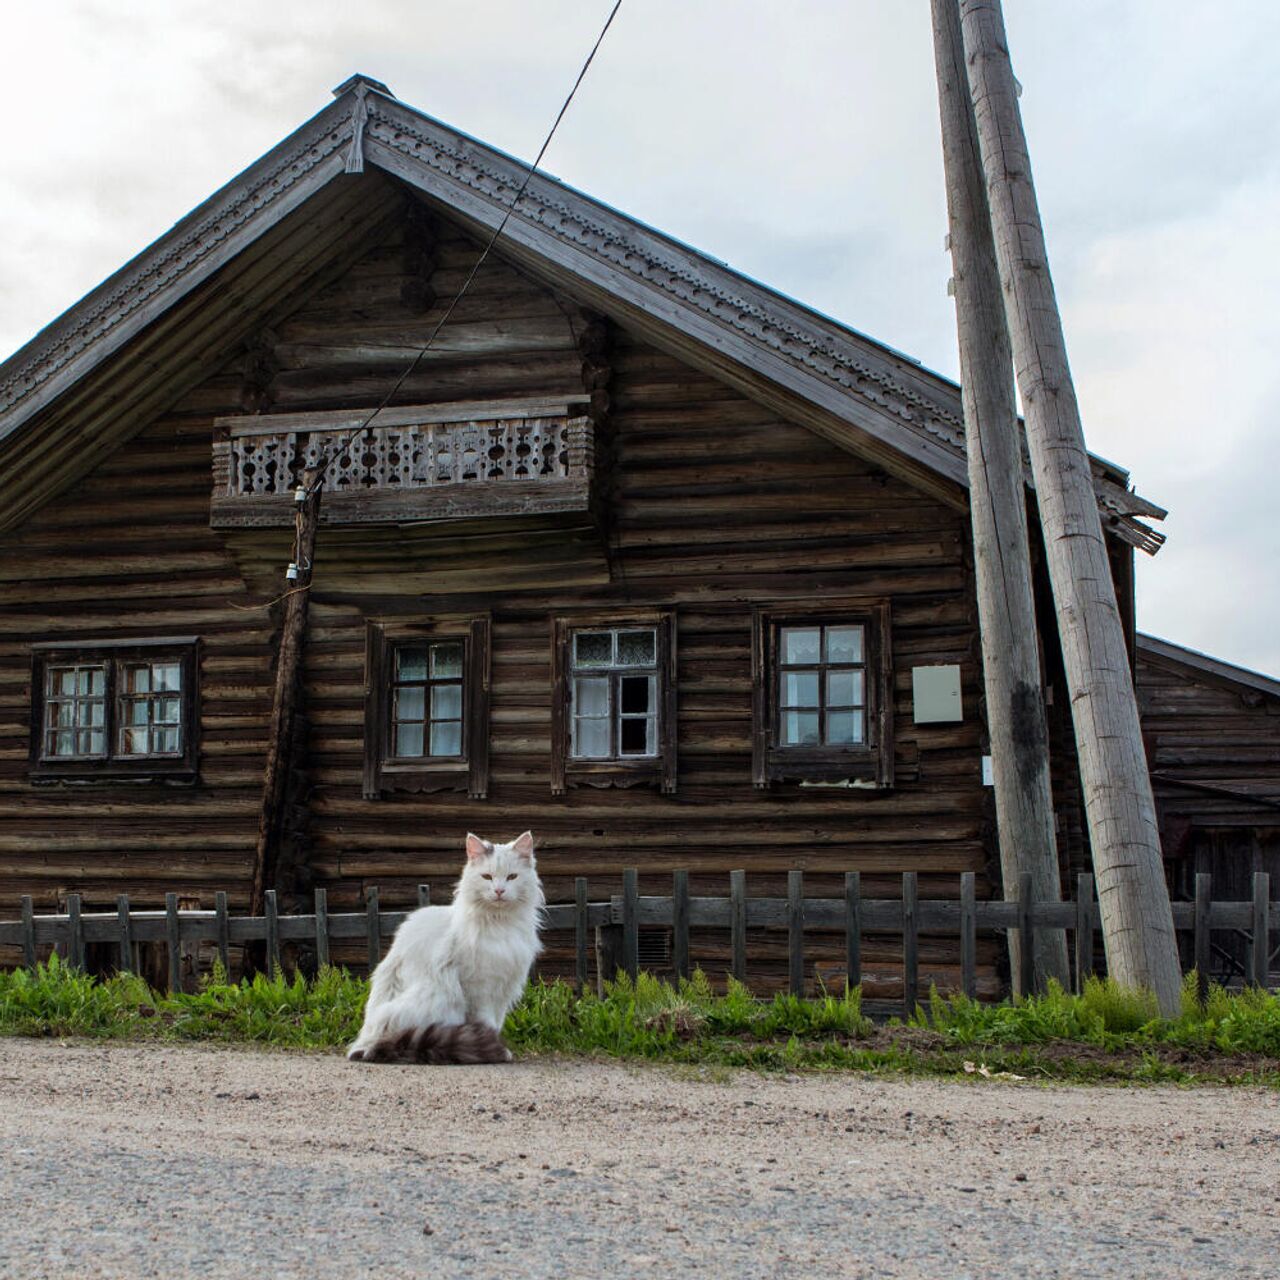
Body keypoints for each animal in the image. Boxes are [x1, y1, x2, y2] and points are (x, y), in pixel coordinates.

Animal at [345, 829, 540, 1059]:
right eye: (487, 877)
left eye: (511, 877)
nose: (499, 891)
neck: (500, 924)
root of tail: (364, 1043)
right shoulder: (480, 989)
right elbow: (487, 1023)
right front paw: (498, 1049)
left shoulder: (504, 989)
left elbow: (497, 1022)